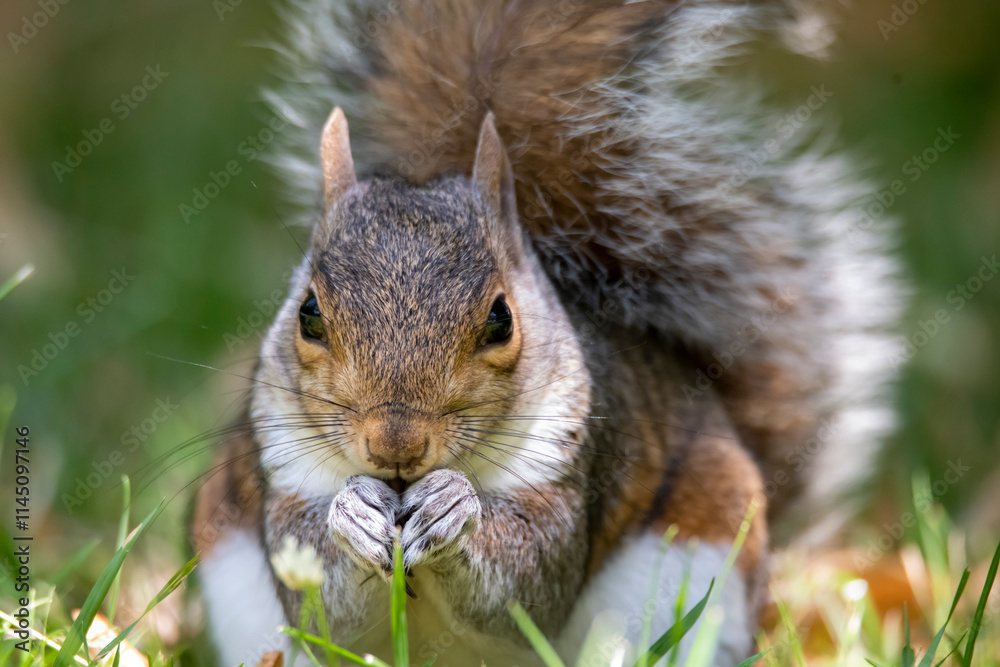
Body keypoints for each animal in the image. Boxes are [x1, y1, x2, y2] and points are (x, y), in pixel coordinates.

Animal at [190, 0, 903, 665]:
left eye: (501, 318)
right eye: (308, 313)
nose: (395, 445)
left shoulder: (572, 461)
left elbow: (532, 580)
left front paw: (454, 506)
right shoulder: (281, 475)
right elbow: (321, 605)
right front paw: (353, 514)